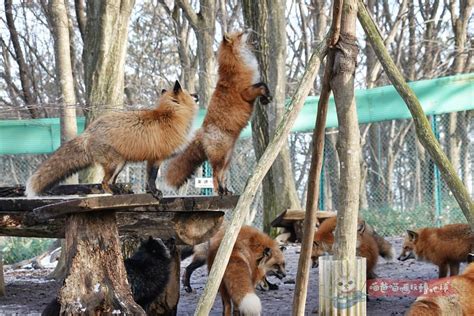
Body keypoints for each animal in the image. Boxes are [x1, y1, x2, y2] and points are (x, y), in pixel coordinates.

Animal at [25, 82, 199, 200]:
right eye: (189, 93)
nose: (197, 94)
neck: (170, 116)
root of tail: (88, 131)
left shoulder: (151, 158)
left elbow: (147, 179)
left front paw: (150, 192)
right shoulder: (157, 158)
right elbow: (152, 178)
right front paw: (155, 193)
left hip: (121, 164)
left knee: (110, 182)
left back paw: (121, 191)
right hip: (115, 163)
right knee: (104, 183)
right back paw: (114, 193)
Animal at [166, 31, 272, 195]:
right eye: (241, 34)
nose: (250, 29)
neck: (237, 66)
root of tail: (201, 132)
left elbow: (263, 86)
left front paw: (266, 98)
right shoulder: (246, 92)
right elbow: (262, 85)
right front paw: (266, 97)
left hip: (227, 159)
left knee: (221, 176)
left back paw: (225, 190)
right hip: (220, 159)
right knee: (215, 176)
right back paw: (220, 192)